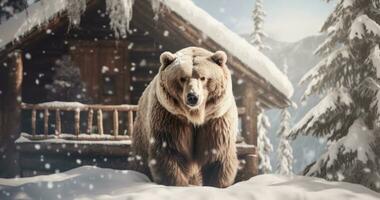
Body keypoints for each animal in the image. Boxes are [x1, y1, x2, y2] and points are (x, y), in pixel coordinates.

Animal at [131, 46, 238, 188]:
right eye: (182, 78)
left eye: (203, 77)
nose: (192, 97)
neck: (195, 116)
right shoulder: (171, 117)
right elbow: (171, 152)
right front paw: (176, 183)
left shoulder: (215, 120)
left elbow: (217, 155)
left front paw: (216, 183)